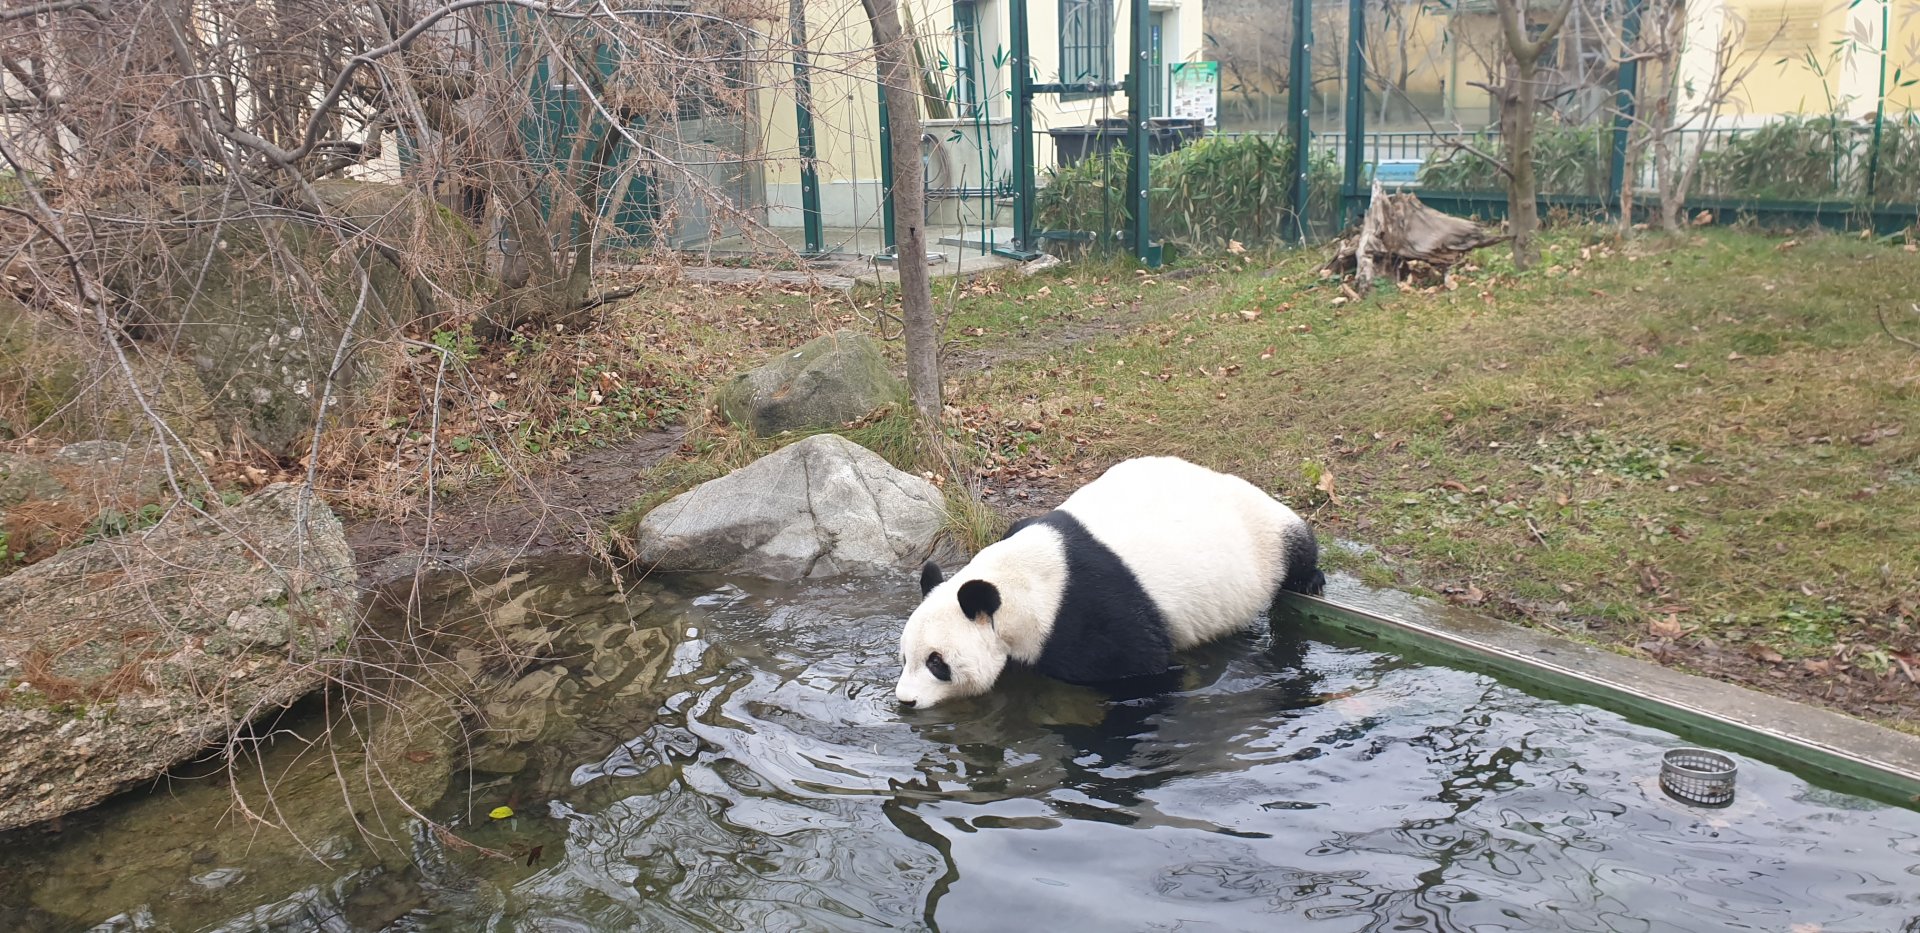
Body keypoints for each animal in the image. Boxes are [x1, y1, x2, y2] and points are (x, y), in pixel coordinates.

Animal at [894, 455, 1324, 709]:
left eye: (937, 662)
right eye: (904, 657)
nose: (905, 701)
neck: (1019, 584)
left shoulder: (1088, 616)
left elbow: (1142, 672)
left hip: (1261, 534)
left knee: (1297, 544)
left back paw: (1309, 581)